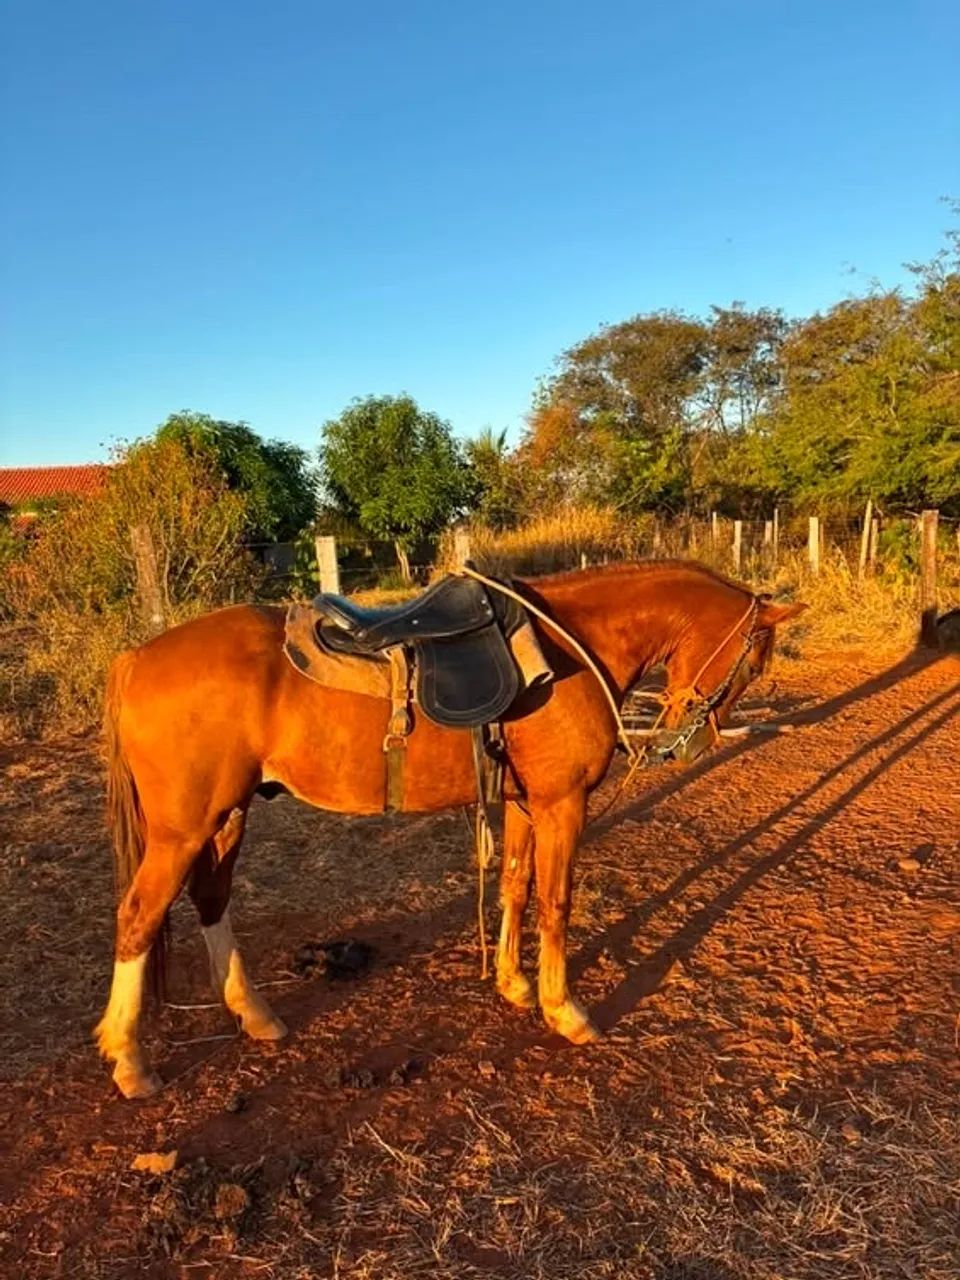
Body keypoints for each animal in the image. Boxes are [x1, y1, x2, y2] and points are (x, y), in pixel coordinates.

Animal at [94, 559, 805, 1098]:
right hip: (183, 832)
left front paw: (514, 985)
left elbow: (515, 884)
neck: (573, 643)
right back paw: (129, 1061)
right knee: (138, 917)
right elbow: (556, 902)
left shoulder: (523, 804)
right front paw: (565, 1011)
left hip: (226, 817)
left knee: (211, 901)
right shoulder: (562, 805)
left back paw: (254, 1015)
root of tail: (134, 657)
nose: (692, 741)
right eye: (754, 662)